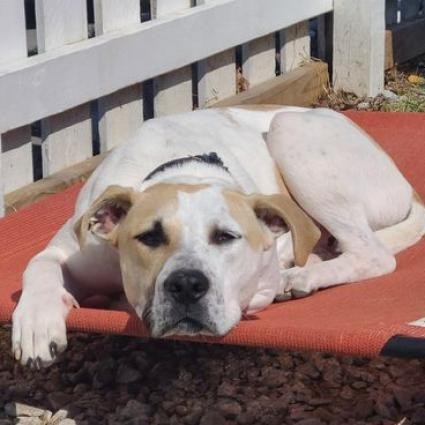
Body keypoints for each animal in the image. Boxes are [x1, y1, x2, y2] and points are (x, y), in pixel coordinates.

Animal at [10, 104, 424, 366]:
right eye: (150, 238)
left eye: (227, 237)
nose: (187, 285)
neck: (184, 167)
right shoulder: (70, 250)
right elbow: (38, 267)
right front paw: (35, 321)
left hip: (291, 131)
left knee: (373, 253)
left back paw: (305, 274)